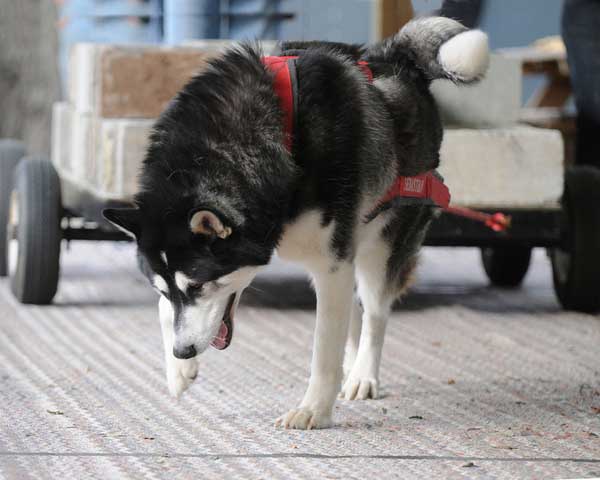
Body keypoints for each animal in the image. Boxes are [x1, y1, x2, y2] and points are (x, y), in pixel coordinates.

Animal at [103, 17, 488, 432]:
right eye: (162, 288)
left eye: (202, 285)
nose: (183, 350)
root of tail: (394, 55)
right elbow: (166, 310)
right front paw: (178, 371)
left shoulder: (331, 261)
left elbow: (324, 345)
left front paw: (314, 410)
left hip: (383, 242)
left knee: (373, 311)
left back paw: (363, 374)